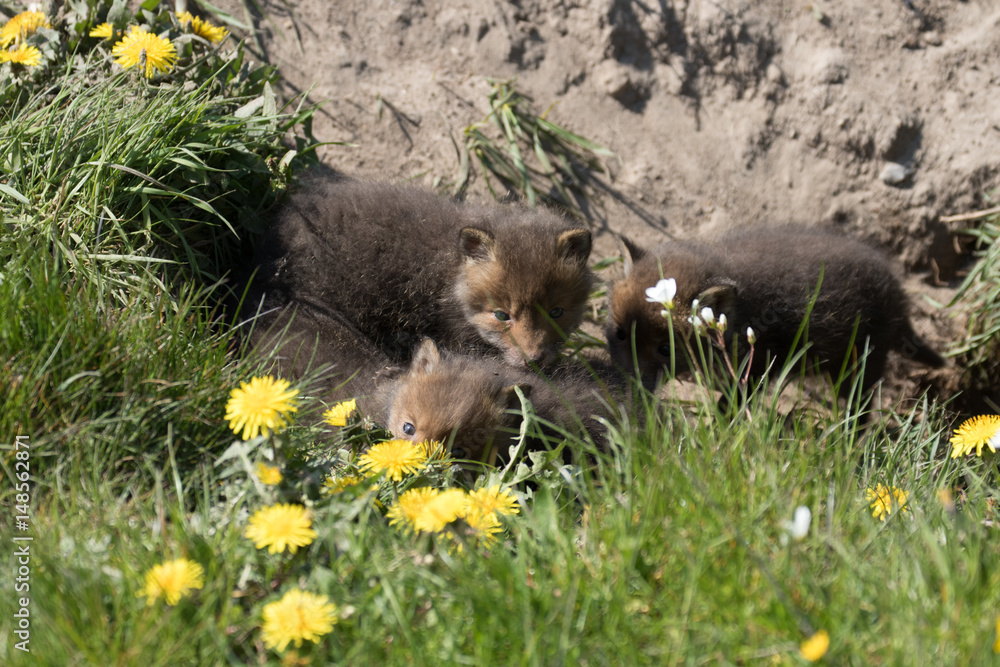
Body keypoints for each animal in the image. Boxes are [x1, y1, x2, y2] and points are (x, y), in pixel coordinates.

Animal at [606, 227, 945, 392]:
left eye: (666, 349)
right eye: (621, 333)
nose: (627, 383)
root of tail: (896, 290)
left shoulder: (756, 368)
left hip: (860, 362)